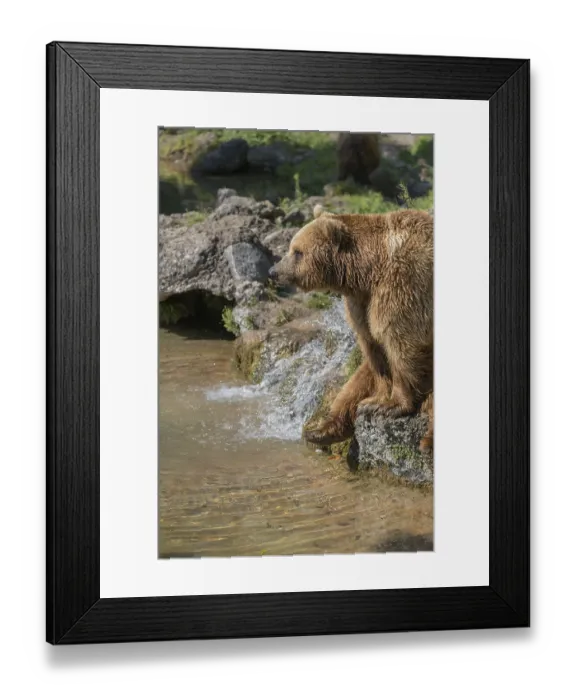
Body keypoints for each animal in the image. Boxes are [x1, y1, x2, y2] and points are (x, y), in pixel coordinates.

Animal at [268, 208, 434, 454]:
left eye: (297, 251)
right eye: (291, 248)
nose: (273, 271)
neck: (369, 269)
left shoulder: (405, 285)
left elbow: (402, 343)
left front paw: (393, 405)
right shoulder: (361, 303)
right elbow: (374, 349)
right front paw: (375, 401)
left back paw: (427, 441)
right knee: (355, 381)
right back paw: (321, 431)